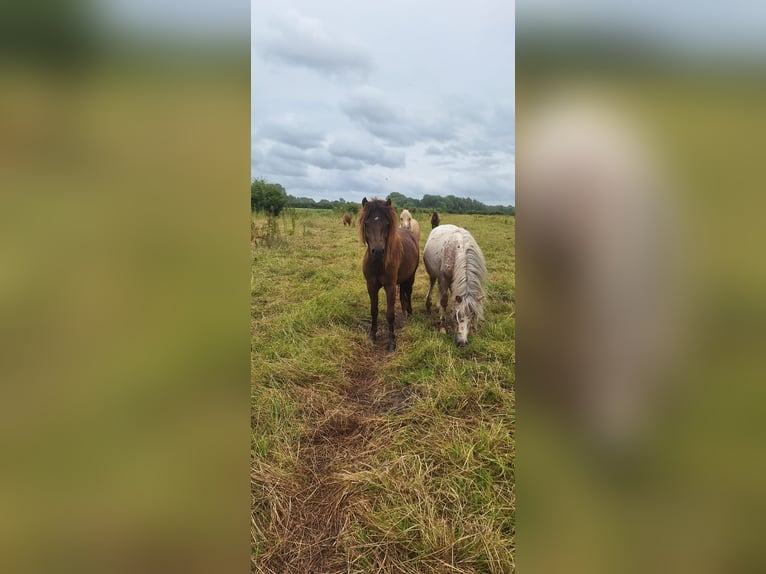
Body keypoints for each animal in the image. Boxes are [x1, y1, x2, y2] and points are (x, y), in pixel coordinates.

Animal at [360, 198, 420, 354]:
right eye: (367, 224)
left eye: (387, 224)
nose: (378, 251)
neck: (378, 264)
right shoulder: (371, 286)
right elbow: (374, 311)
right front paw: (372, 336)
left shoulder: (390, 287)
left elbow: (390, 314)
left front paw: (392, 343)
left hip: (411, 277)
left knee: (408, 293)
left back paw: (409, 313)